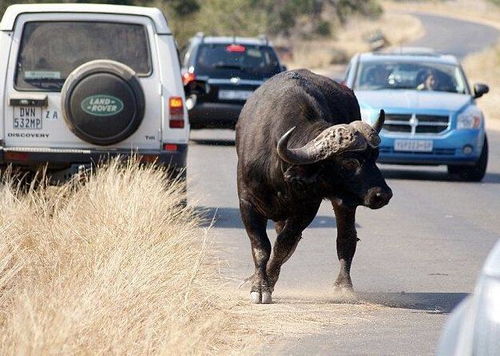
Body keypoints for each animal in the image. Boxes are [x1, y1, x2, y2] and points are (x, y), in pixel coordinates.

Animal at [236, 69, 392, 304]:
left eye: (375, 157)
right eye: (349, 162)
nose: (383, 195)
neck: (279, 167)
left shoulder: (307, 208)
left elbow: (283, 245)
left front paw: (268, 282)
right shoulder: (247, 202)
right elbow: (261, 247)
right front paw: (258, 285)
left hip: (344, 201)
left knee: (346, 237)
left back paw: (343, 286)